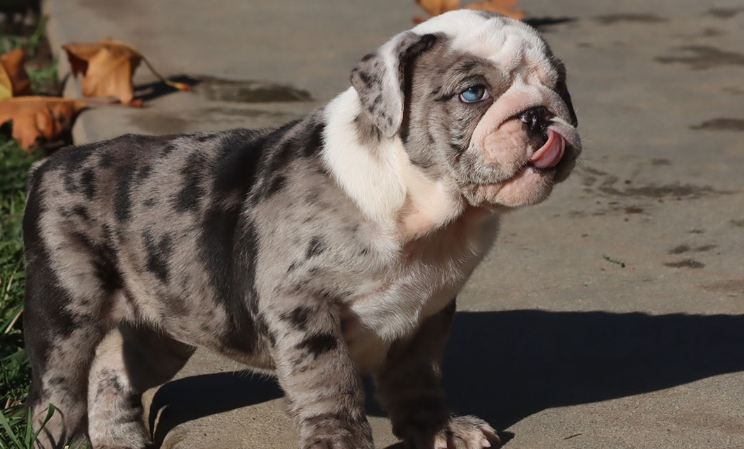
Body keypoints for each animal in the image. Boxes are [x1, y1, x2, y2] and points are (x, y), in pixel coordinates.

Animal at [21, 8, 580, 448]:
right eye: (473, 93)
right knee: (56, 393)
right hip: (66, 312)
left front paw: (439, 430)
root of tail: (51, 164)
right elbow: (329, 381)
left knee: (113, 371)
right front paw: (340, 441)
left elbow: (417, 378)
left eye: (559, 86)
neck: (426, 208)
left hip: (161, 328)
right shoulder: (301, 304)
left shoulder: (427, 313)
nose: (538, 115)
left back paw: (120, 439)